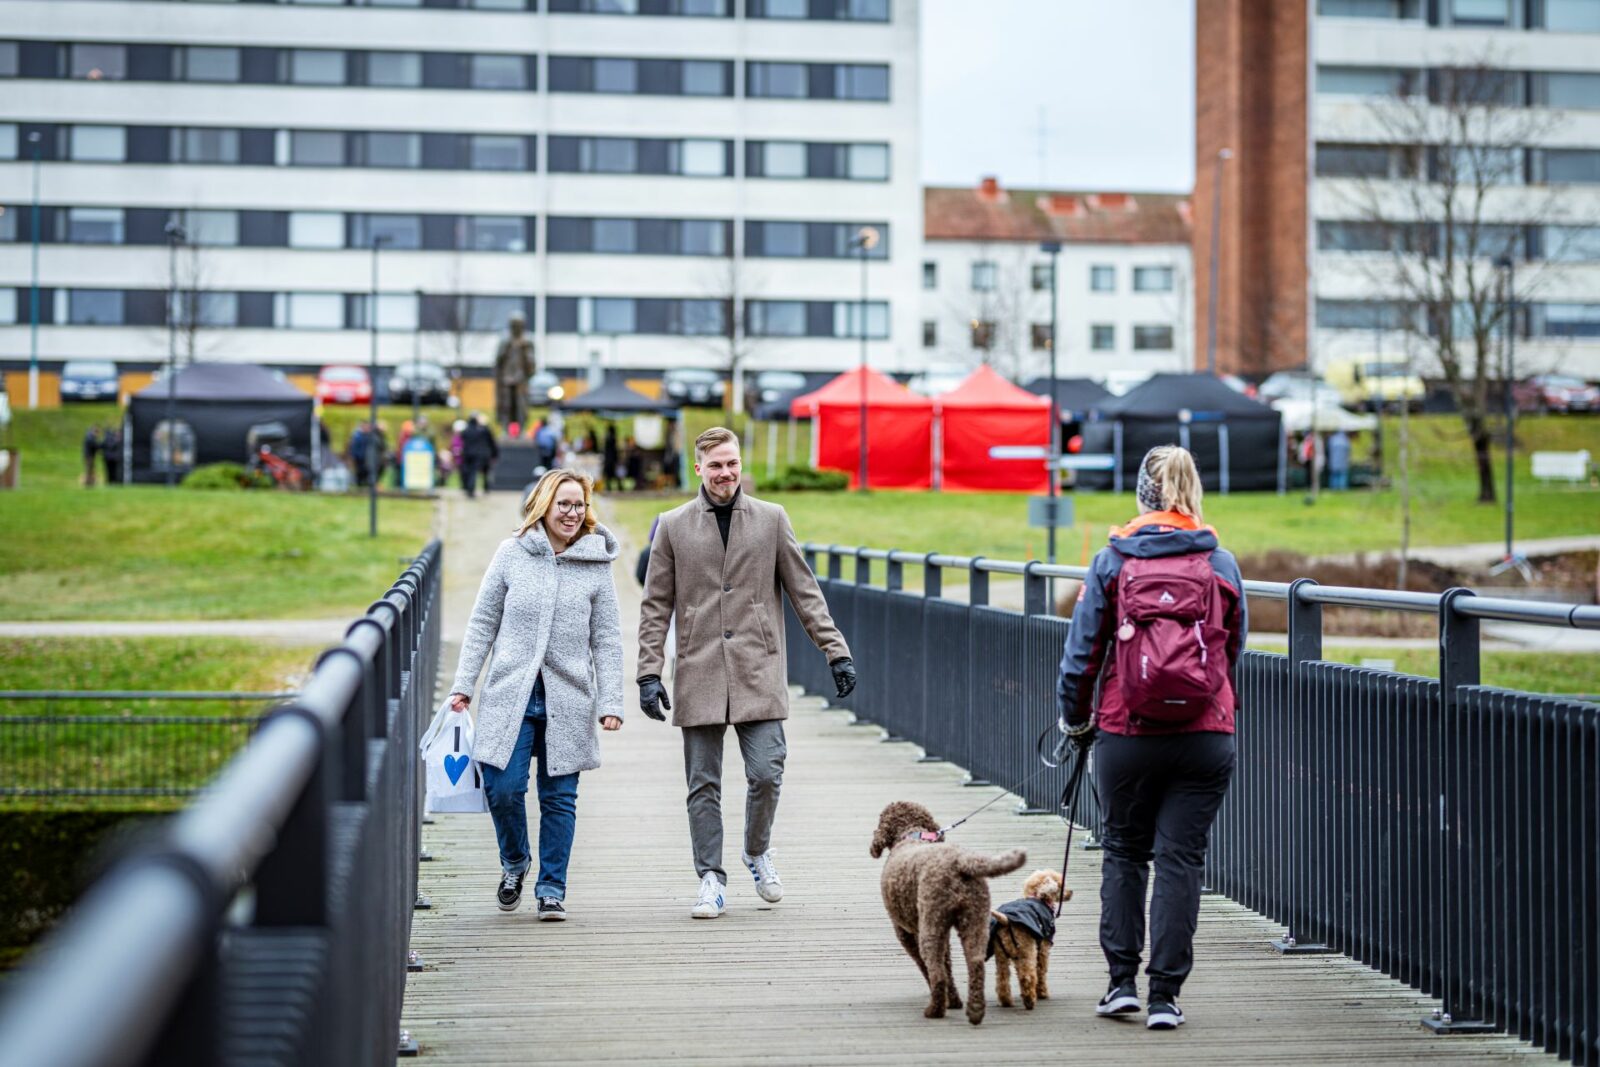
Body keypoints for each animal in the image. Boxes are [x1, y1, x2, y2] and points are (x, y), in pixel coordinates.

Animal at [876, 799, 1024, 1023]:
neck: (911, 834)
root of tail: (959, 863)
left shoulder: (906, 932)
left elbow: (927, 967)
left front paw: (946, 999)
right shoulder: (942, 931)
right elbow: (948, 966)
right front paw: (953, 1000)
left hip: (931, 926)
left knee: (936, 972)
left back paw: (935, 1010)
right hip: (974, 920)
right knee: (975, 964)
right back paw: (975, 1011)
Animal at [992, 870, 1068, 1011]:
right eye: (1061, 885)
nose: (1071, 892)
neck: (1039, 899)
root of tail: (1006, 920)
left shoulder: (1018, 958)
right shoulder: (1043, 948)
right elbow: (1041, 971)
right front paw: (1042, 993)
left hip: (1001, 954)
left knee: (1002, 978)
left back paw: (1006, 1002)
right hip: (1027, 950)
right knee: (1027, 977)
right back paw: (1030, 1001)